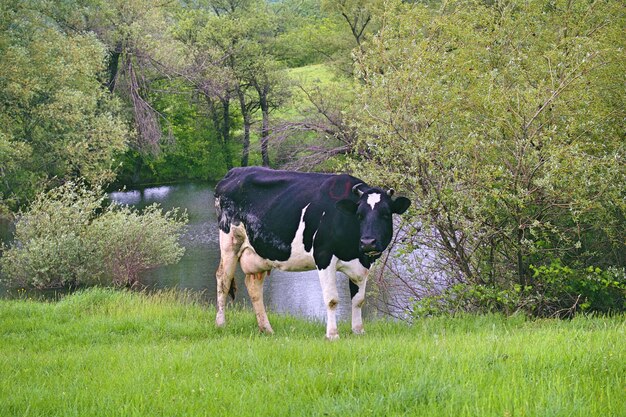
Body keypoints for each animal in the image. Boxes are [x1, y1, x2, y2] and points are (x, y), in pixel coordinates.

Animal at [212, 166, 412, 338]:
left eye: (385, 214)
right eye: (359, 214)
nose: (368, 242)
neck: (354, 251)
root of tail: (234, 172)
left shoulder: (362, 264)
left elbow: (358, 300)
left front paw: (358, 331)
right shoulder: (324, 256)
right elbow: (332, 299)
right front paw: (332, 334)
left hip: (259, 253)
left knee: (254, 286)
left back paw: (266, 329)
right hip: (229, 242)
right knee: (223, 279)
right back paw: (221, 324)